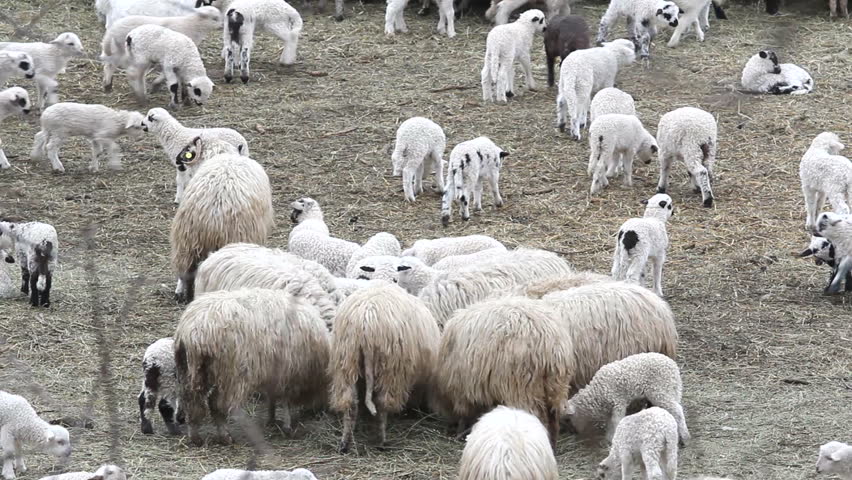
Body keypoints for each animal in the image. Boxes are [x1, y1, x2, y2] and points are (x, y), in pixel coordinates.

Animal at [170, 136, 273, 303]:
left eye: (187, 149)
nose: (178, 161)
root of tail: (213, 214)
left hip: (186, 242)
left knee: (186, 272)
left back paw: (185, 294)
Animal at [175, 288, 330, 446]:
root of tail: (194, 331)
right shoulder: (289, 372)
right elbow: (286, 401)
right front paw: (287, 426)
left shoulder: (275, 372)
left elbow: (272, 397)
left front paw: (271, 418)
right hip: (231, 373)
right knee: (217, 405)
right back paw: (225, 436)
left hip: (189, 369)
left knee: (192, 402)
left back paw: (195, 437)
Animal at [330, 283, 441, 453]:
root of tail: (367, 320)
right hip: (391, 370)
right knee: (382, 404)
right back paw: (381, 441)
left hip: (346, 363)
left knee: (350, 403)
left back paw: (344, 443)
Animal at [435, 296, 574, 447]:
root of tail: (550, 342)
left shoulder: (462, 389)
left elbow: (464, 414)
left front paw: (460, 432)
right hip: (556, 386)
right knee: (553, 419)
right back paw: (552, 445)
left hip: (522, 387)